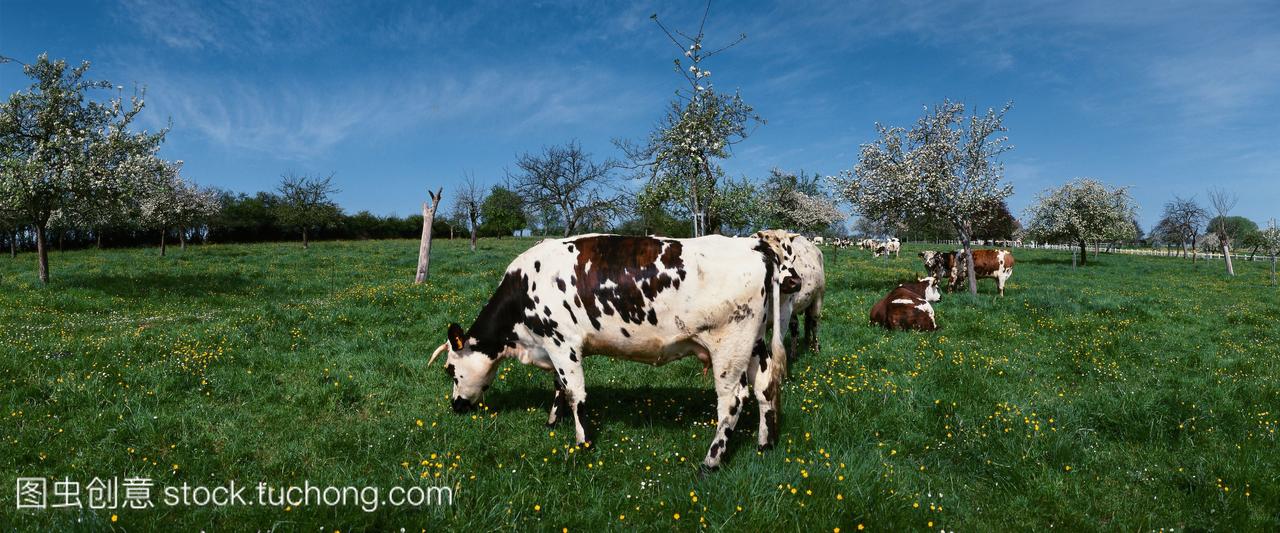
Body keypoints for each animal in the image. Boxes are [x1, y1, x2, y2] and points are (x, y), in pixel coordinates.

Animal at [424, 233, 793, 471]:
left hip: (729, 347)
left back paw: (711, 460)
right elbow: (559, 387)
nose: (455, 406)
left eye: (449, 370)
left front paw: (582, 442)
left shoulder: (563, 342)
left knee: (732, 400)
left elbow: (575, 393)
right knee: (764, 390)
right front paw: (552, 422)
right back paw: (764, 444)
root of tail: (754, 245)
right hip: (754, 345)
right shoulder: (554, 347)